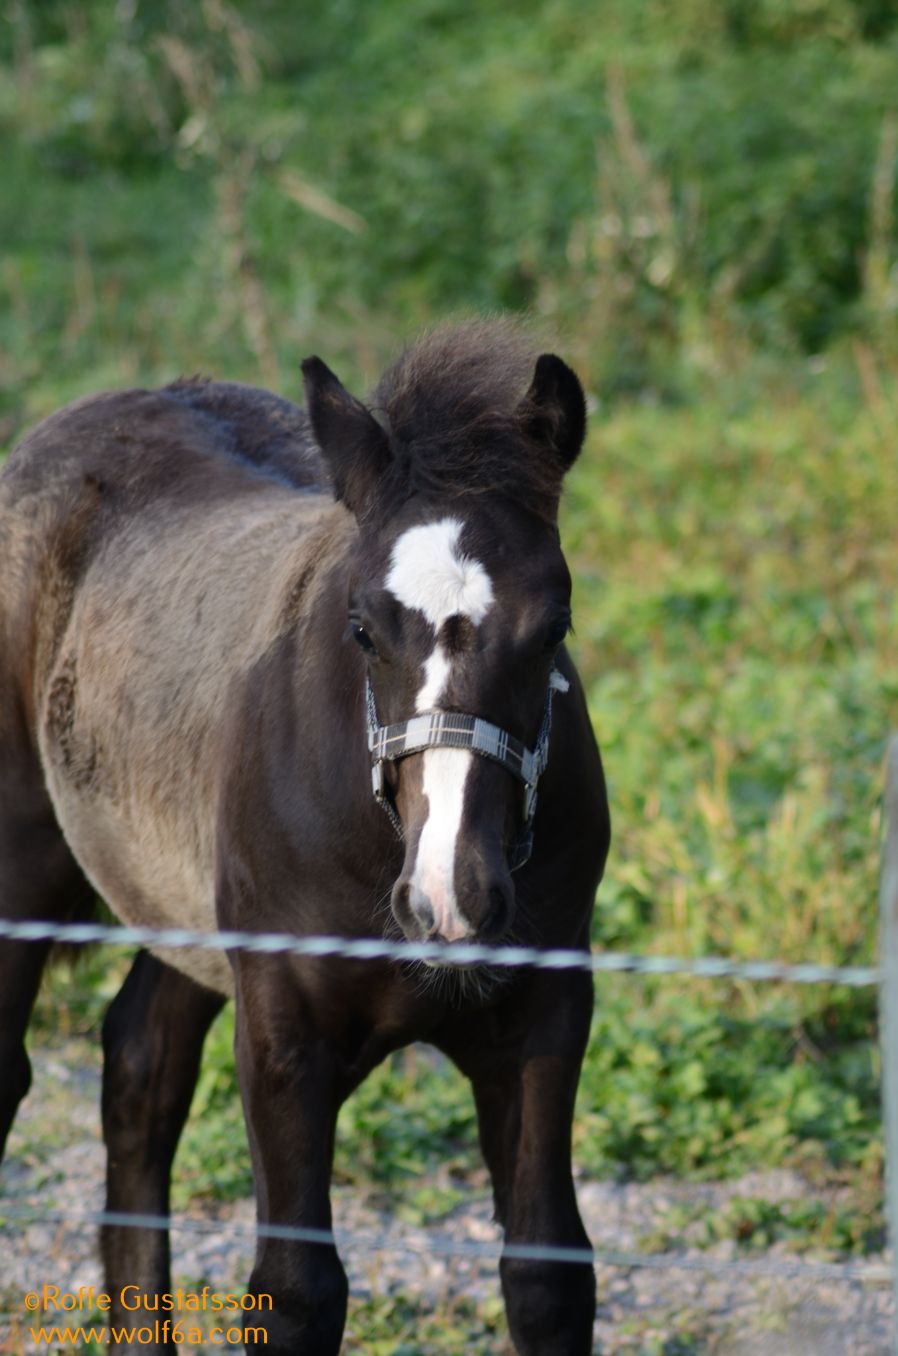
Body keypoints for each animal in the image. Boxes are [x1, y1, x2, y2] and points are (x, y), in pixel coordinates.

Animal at [0, 322, 613, 1350]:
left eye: (554, 625)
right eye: (362, 628)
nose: (452, 896)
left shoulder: (547, 1013)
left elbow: (547, 1275)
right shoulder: (283, 1025)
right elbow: (295, 1288)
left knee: (141, 1072)